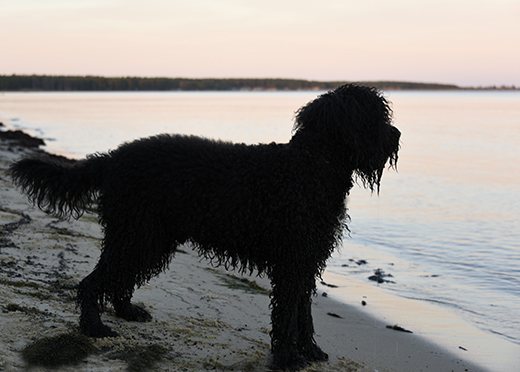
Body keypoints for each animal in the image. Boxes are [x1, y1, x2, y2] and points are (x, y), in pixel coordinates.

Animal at [8, 85, 400, 372]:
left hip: (148, 237)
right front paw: (288, 358)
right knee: (94, 282)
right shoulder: (292, 263)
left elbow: (303, 313)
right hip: (136, 233)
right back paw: (94, 327)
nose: (396, 134)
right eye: (375, 115)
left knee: (119, 278)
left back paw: (127, 312)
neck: (310, 166)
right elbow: (288, 314)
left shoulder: (305, 261)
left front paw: (310, 351)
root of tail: (113, 157)